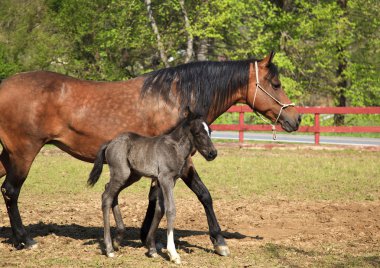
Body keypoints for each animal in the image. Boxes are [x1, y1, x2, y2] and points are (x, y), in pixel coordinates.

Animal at [87, 114, 215, 262]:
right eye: (198, 133)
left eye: (210, 132)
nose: (213, 153)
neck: (174, 148)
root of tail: (110, 143)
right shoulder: (165, 179)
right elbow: (170, 210)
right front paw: (173, 253)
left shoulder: (167, 181)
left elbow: (160, 209)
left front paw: (152, 249)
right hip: (121, 173)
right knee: (107, 197)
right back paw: (109, 249)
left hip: (132, 175)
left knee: (110, 191)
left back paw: (117, 239)